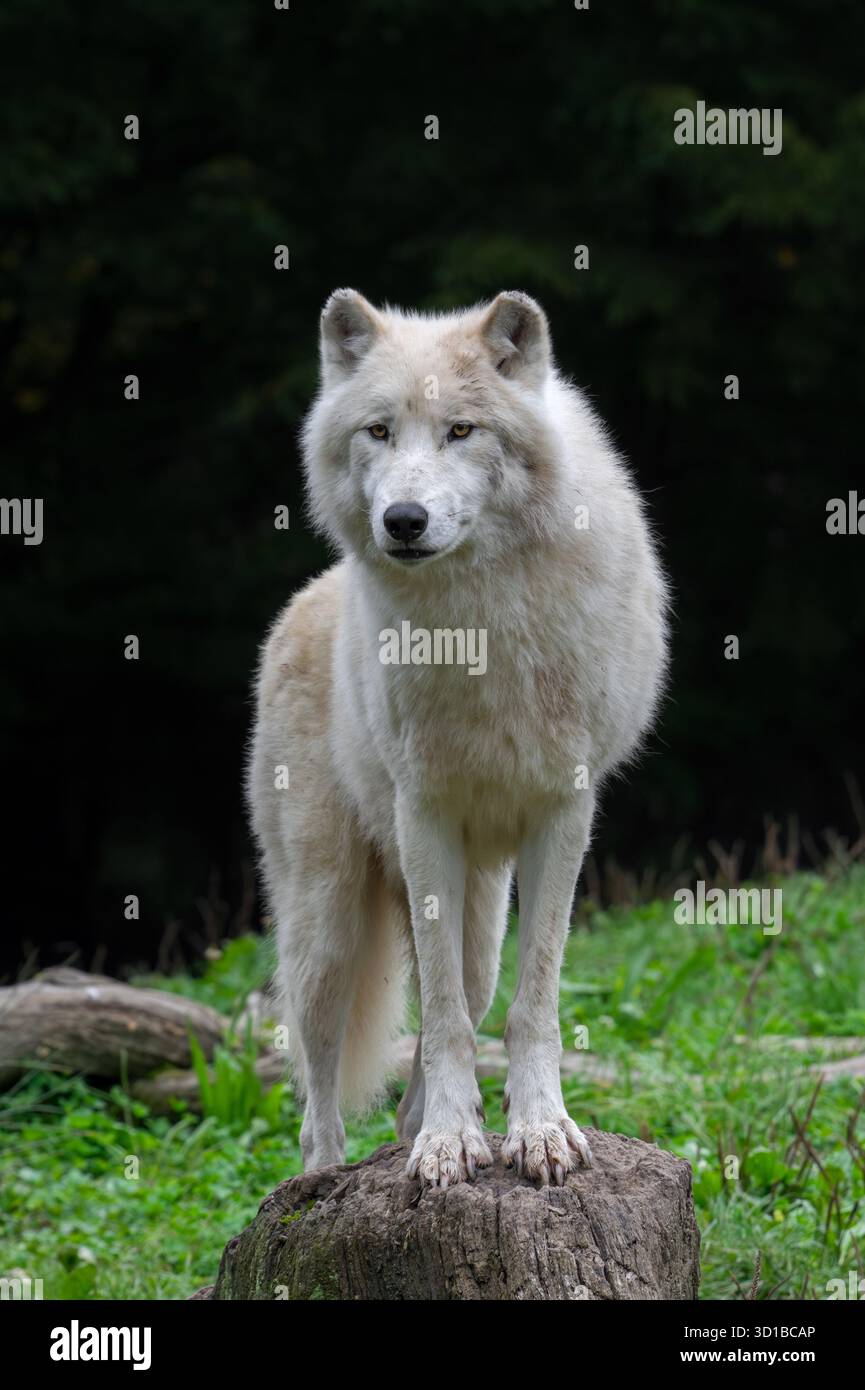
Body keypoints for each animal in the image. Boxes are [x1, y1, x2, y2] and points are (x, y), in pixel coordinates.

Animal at [247, 289, 669, 1188]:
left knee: (455, 1025)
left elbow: (530, 1004)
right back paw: (319, 1183)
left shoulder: (563, 814)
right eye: (378, 430)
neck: (478, 628)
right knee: (318, 1093)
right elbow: (439, 1019)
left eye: (461, 430)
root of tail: (306, 597)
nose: (402, 520)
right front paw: (449, 1145)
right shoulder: (424, 817)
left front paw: (536, 1131)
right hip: (327, 926)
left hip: (478, 923)